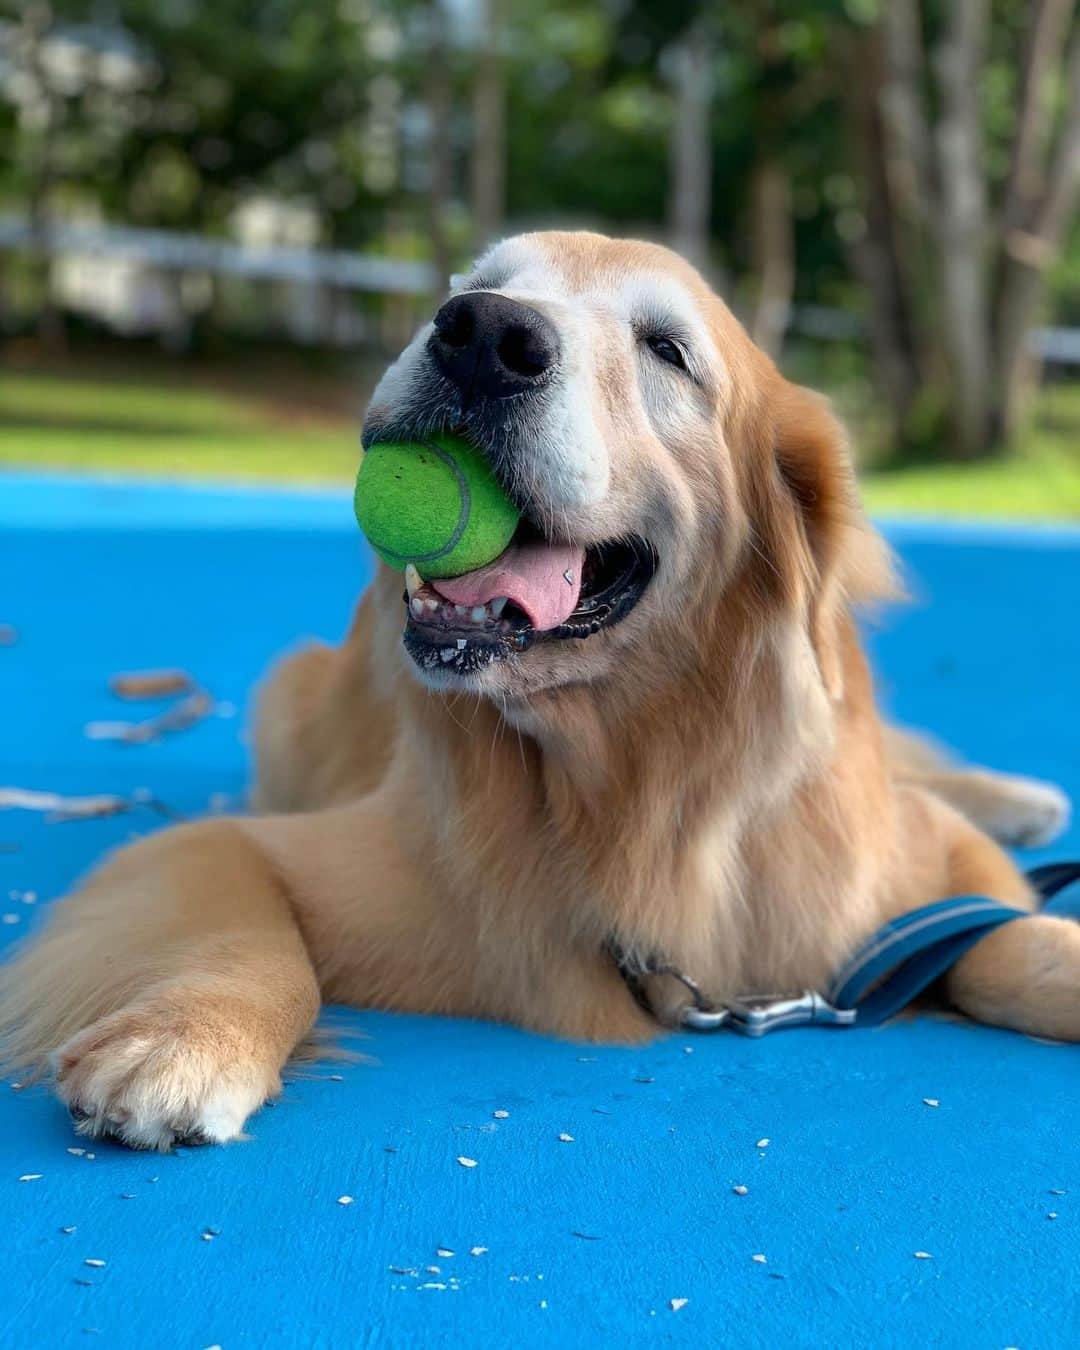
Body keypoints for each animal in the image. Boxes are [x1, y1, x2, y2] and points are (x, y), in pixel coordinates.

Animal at [0, 234, 1074, 1150]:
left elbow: (1004, 935)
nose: (481, 332)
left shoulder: (910, 869)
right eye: (474, 283)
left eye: (668, 350)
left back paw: (1024, 798)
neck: (625, 788)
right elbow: (246, 929)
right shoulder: (248, 848)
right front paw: (183, 1039)